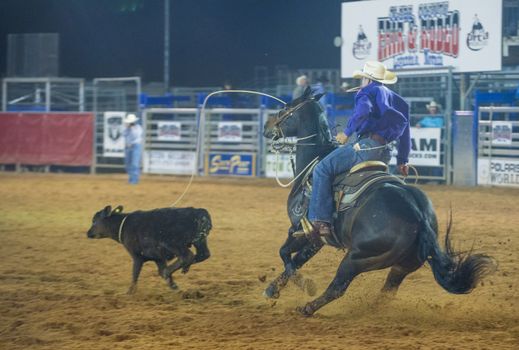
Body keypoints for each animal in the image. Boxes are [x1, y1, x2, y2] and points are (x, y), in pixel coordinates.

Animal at [264, 89, 496, 318]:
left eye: (285, 108)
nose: (267, 127)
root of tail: (418, 215)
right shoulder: (316, 239)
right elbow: (296, 260)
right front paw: (272, 289)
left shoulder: (299, 229)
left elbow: (285, 254)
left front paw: (304, 285)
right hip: (404, 264)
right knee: (387, 292)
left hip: (357, 258)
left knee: (338, 287)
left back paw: (308, 307)